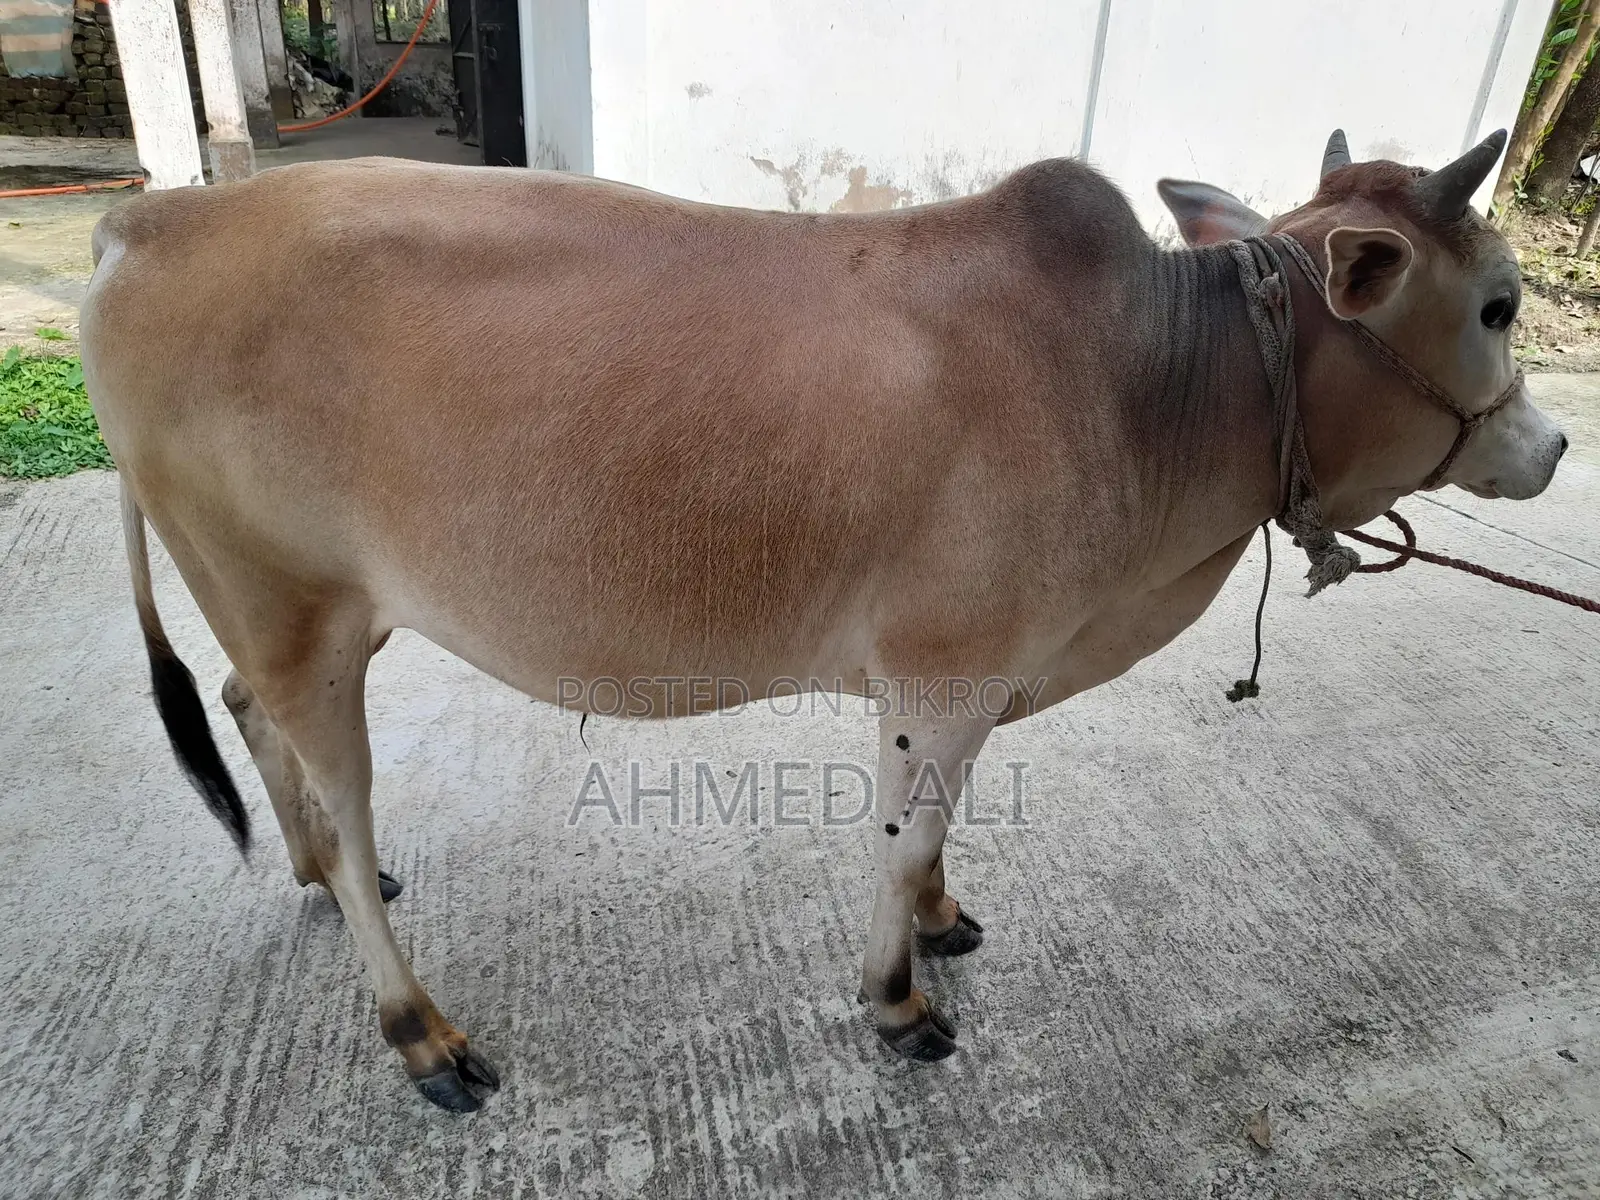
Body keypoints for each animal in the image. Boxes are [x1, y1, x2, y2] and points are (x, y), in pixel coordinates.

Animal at [80, 129, 1566, 1111]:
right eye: (1497, 304)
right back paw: (418, 1030)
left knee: (246, 715)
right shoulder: (941, 676)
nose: (1553, 448)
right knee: (339, 792)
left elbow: (938, 837)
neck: (1158, 386)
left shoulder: (976, 682)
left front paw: (946, 920)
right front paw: (898, 1000)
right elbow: (900, 842)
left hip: (320, 613)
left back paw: (318, 876)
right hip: (289, 604)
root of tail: (152, 227)